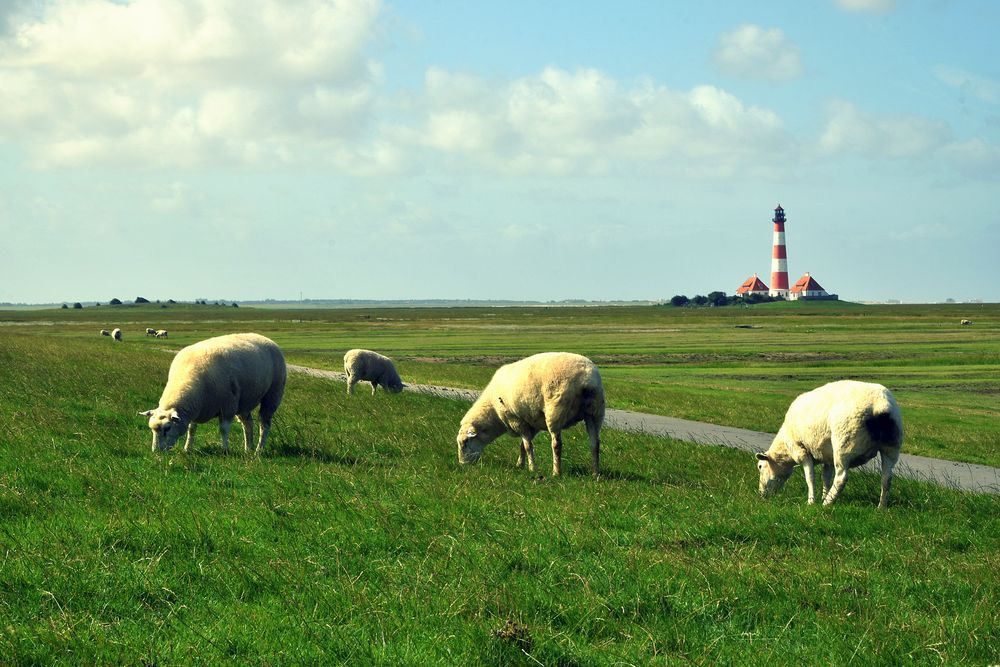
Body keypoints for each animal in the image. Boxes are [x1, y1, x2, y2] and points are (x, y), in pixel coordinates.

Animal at [139, 332, 286, 454]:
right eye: (152, 429)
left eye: (167, 428)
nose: (156, 451)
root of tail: (264, 337)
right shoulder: (196, 408)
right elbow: (191, 430)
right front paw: (187, 449)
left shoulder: (228, 406)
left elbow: (223, 430)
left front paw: (225, 450)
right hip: (243, 402)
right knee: (248, 424)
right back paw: (248, 449)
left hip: (272, 394)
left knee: (264, 425)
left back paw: (258, 450)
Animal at [458, 352, 604, 478]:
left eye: (465, 442)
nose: (463, 464)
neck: (493, 412)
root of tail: (586, 378)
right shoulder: (532, 423)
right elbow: (523, 445)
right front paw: (520, 464)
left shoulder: (517, 420)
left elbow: (528, 446)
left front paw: (532, 468)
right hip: (595, 412)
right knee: (595, 443)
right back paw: (595, 473)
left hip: (556, 411)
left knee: (557, 444)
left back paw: (556, 472)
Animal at [752, 378, 904, 508]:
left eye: (760, 466)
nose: (761, 495)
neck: (785, 449)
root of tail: (880, 404)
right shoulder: (827, 457)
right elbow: (826, 477)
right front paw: (822, 496)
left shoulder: (802, 451)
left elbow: (810, 478)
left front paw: (812, 501)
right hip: (891, 446)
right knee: (886, 478)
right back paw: (881, 507)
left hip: (844, 445)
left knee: (841, 478)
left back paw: (828, 503)